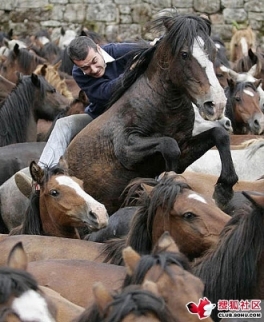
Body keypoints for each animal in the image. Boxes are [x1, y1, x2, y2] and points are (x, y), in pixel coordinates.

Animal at [66, 11, 239, 214]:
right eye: (184, 54)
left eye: (213, 52)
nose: (216, 104)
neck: (164, 108)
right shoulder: (127, 149)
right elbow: (169, 145)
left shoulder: (185, 148)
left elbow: (219, 134)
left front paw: (224, 190)